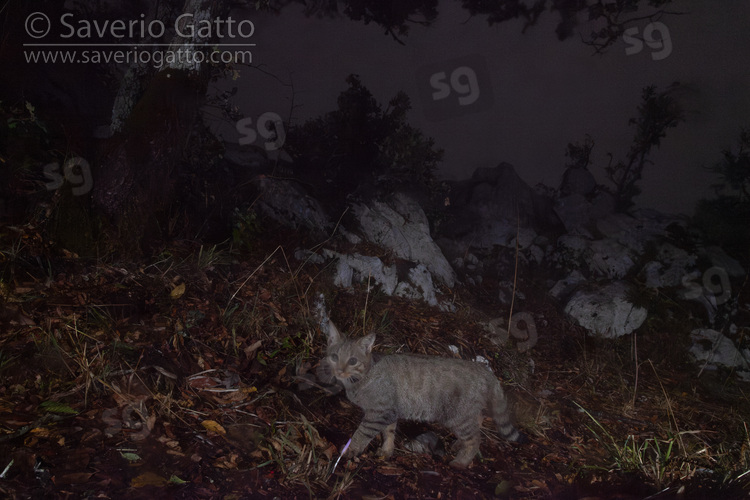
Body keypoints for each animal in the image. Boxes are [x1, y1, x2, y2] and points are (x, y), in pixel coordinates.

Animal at [318, 322, 524, 466]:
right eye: (334, 357)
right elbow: (389, 433)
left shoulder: (379, 412)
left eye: (352, 361)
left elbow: (362, 433)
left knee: (475, 439)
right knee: (477, 425)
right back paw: (458, 446)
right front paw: (386, 451)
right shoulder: (390, 412)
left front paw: (350, 451)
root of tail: (485, 370)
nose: (339, 371)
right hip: (467, 415)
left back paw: (461, 462)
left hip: (458, 416)